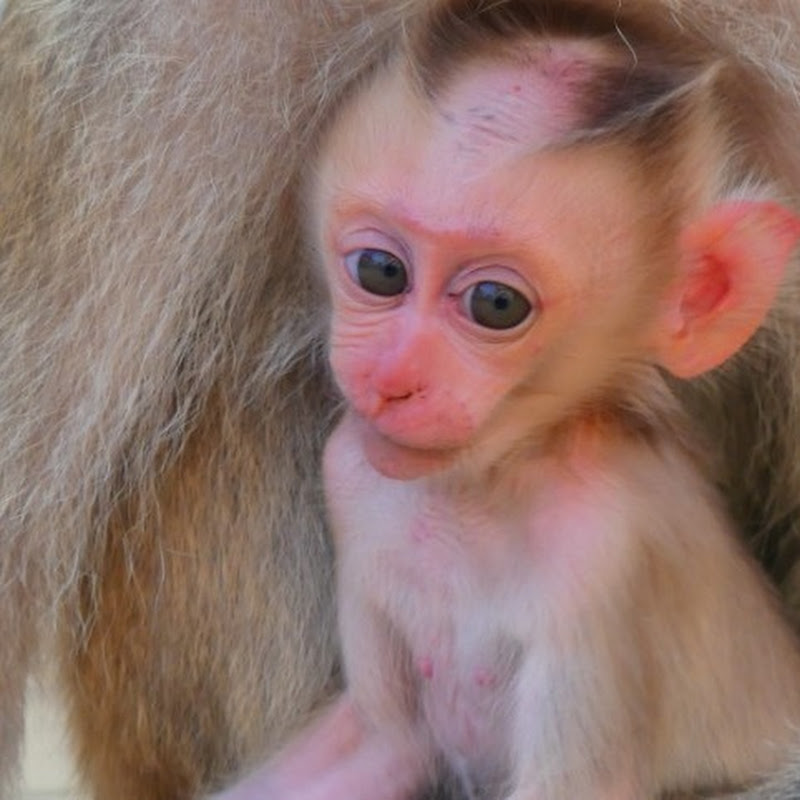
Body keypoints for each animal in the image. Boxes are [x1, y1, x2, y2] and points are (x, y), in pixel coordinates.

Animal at [3, 1, 800, 799]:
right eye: (380, 271)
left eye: (496, 304)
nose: (390, 378)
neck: (483, 494)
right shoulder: (352, 476)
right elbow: (382, 741)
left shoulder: (601, 560)